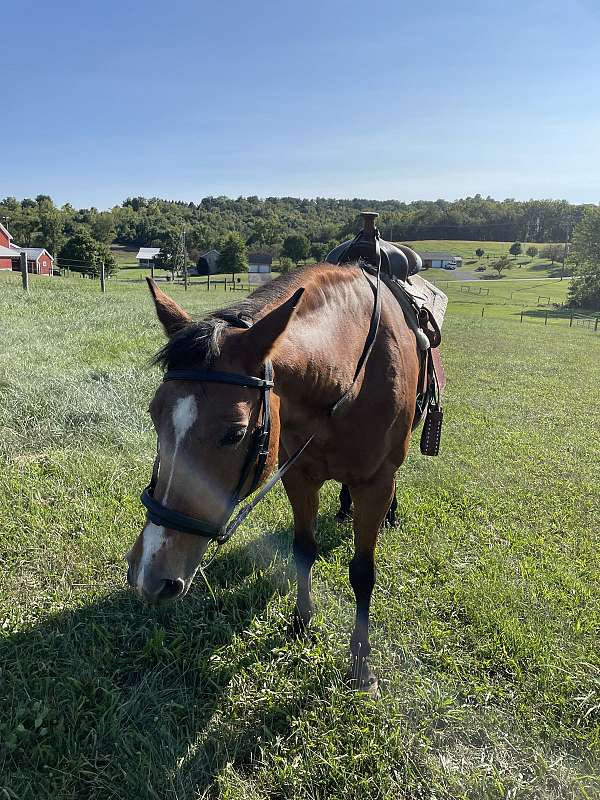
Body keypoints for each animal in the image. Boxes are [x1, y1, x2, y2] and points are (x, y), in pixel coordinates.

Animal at [125, 264, 420, 692]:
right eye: (153, 414)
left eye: (234, 433)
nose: (149, 575)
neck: (347, 376)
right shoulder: (298, 476)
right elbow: (303, 551)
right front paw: (300, 622)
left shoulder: (376, 484)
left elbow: (363, 574)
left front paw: (361, 665)